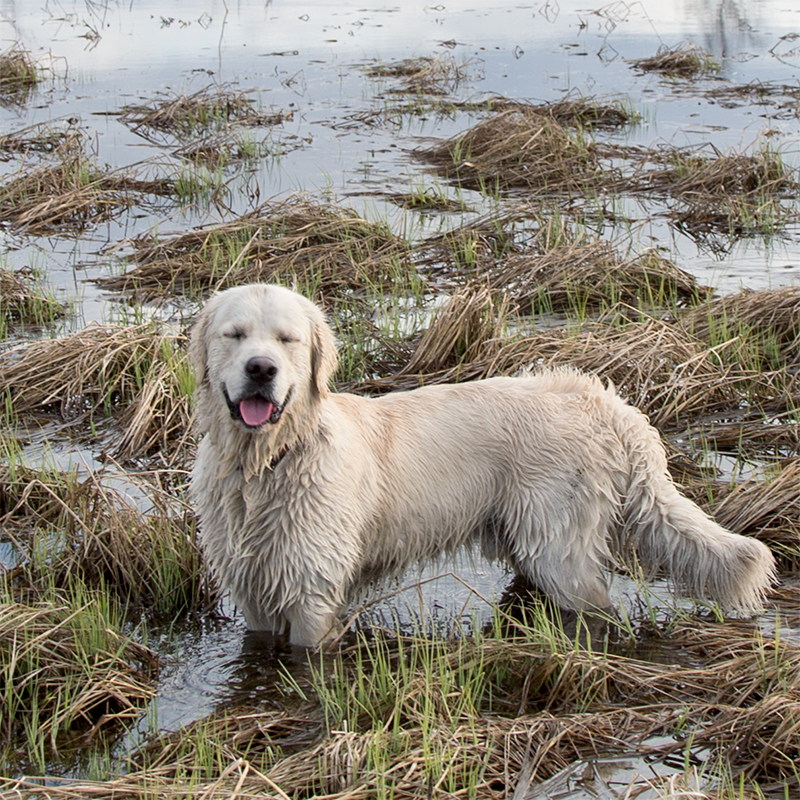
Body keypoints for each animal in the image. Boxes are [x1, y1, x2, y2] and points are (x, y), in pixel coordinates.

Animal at [188, 284, 776, 648]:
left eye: (288, 340)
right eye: (234, 335)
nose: (260, 369)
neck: (263, 466)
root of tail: (599, 398)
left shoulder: (312, 596)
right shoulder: (254, 594)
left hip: (559, 549)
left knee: (596, 605)